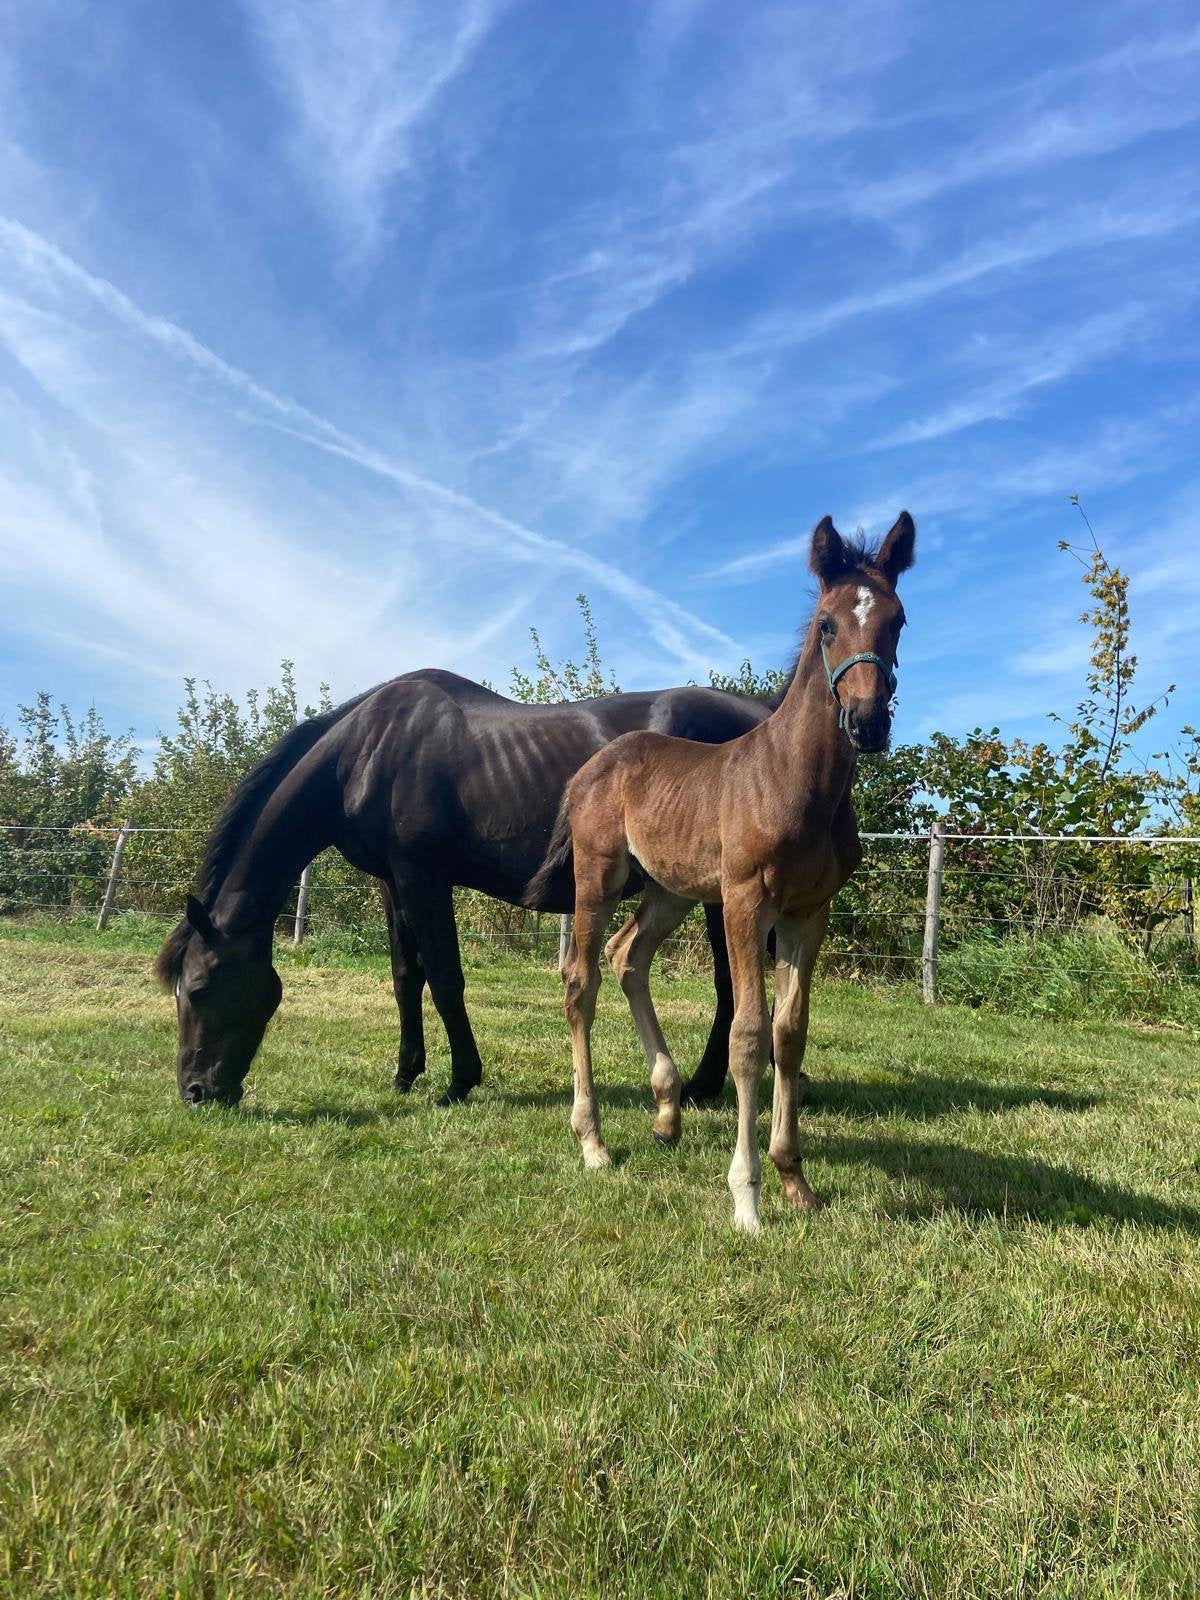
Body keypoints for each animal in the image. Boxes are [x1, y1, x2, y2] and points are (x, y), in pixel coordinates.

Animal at [154, 669, 785, 1109]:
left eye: (201, 989)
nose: (195, 1093)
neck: (367, 751)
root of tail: (765, 711)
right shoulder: (393, 881)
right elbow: (406, 978)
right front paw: (405, 1073)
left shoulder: (423, 876)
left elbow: (444, 976)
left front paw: (459, 1081)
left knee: (733, 986)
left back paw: (707, 1084)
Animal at [527, 513, 915, 1231]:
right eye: (826, 624)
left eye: (898, 620)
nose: (867, 722)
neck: (797, 782)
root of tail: (593, 766)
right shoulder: (744, 901)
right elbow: (748, 1034)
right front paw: (747, 1196)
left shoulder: (807, 911)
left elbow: (790, 1034)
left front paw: (795, 1180)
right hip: (599, 877)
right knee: (581, 980)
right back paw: (592, 1140)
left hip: (670, 891)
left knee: (628, 957)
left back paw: (667, 1110)